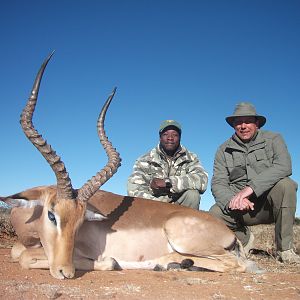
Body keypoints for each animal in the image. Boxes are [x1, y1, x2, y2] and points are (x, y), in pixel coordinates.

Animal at [0, 53, 258, 278]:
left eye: (81, 222)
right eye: (51, 216)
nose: (66, 271)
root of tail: (228, 233)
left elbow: (24, 257)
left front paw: (109, 262)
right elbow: (17, 252)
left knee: (236, 264)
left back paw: (165, 262)